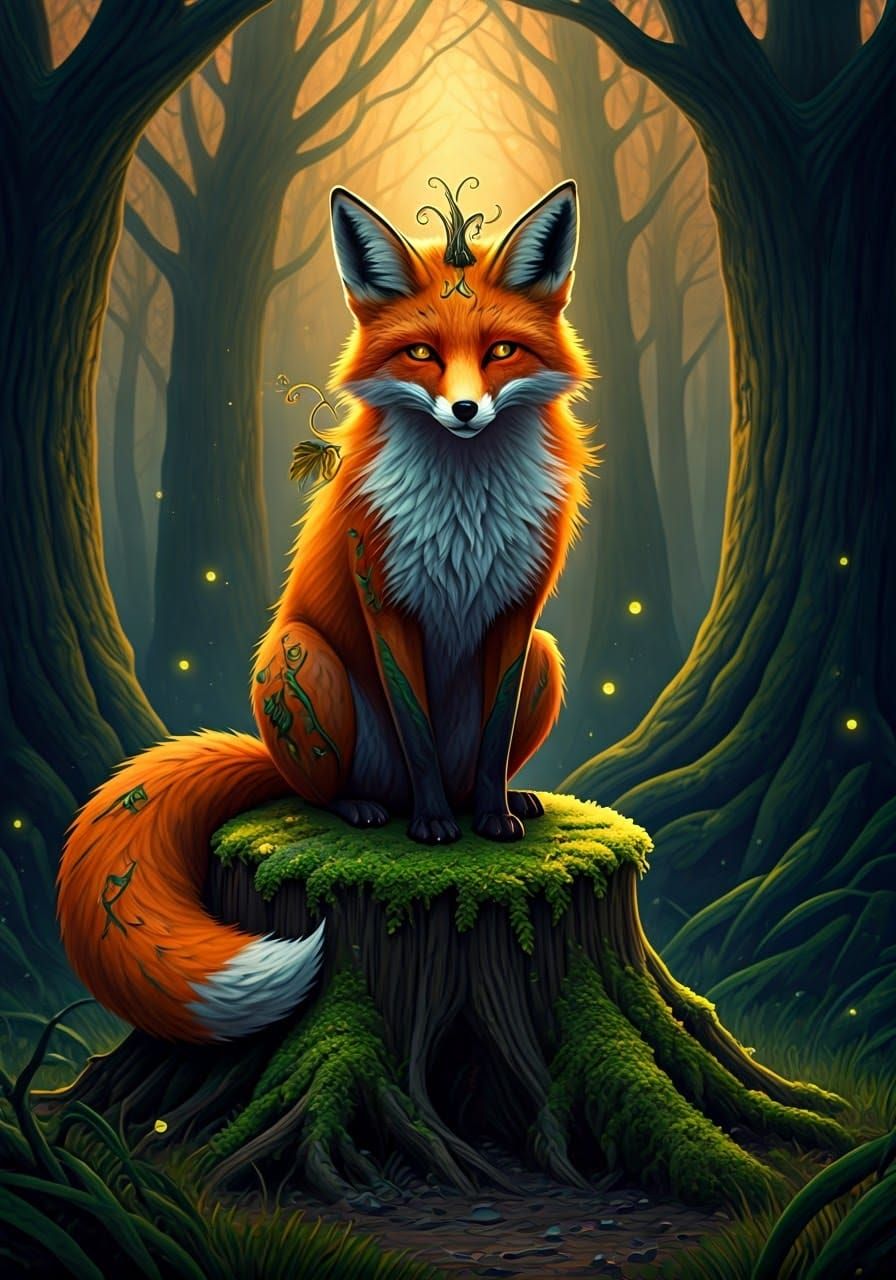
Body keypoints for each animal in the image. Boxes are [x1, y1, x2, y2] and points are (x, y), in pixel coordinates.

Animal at [57, 180, 594, 1042]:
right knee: (325, 789)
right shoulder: (384, 602)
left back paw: (508, 798)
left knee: (481, 754)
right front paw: (437, 829)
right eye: (422, 354)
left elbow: (494, 732)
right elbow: (414, 726)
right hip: (301, 659)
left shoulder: (519, 612)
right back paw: (368, 807)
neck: (465, 510)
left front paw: (489, 817)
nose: (466, 410)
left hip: (547, 653)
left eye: (502, 351)